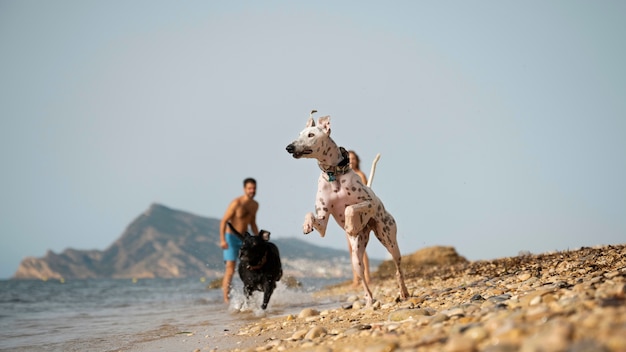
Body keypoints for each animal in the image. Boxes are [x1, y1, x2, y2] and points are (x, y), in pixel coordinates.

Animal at [284, 110, 410, 306]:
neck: (333, 174)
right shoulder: (322, 221)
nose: (289, 147)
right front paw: (306, 225)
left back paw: (404, 292)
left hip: (389, 239)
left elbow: (350, 208)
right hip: (356, 257)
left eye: (311, 135)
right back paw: (369, 300)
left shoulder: (369, 203)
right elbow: (311, 215)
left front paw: (350, 225)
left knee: (398, 268)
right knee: (364, 280)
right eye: (299, 134)